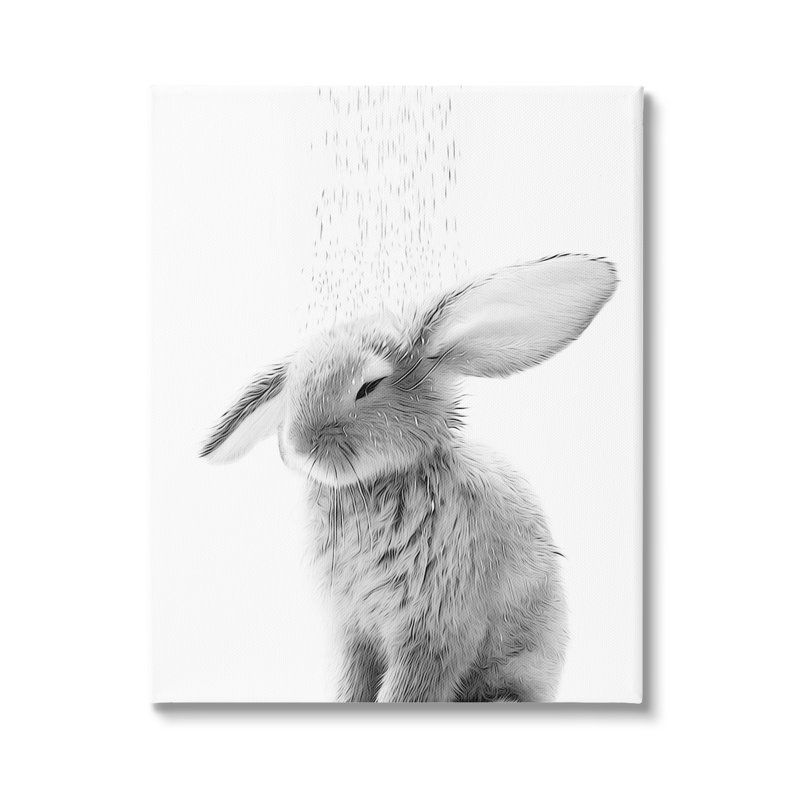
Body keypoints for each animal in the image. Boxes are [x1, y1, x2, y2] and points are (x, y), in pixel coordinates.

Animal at [200, 253, 617, 702]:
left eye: (369, 385)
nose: (296, 444)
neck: (378, 484)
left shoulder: (434, 629)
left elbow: (406, 689)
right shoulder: (354, 630)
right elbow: (352, 682)